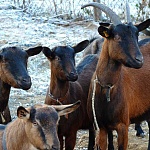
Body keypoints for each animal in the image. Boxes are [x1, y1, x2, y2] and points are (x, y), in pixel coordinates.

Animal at [81, 2, 150, 150]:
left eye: (136, 35)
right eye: (117, 37)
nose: (139, 60)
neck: (107, 89)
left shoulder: (123, 126)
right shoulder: (101, 127)